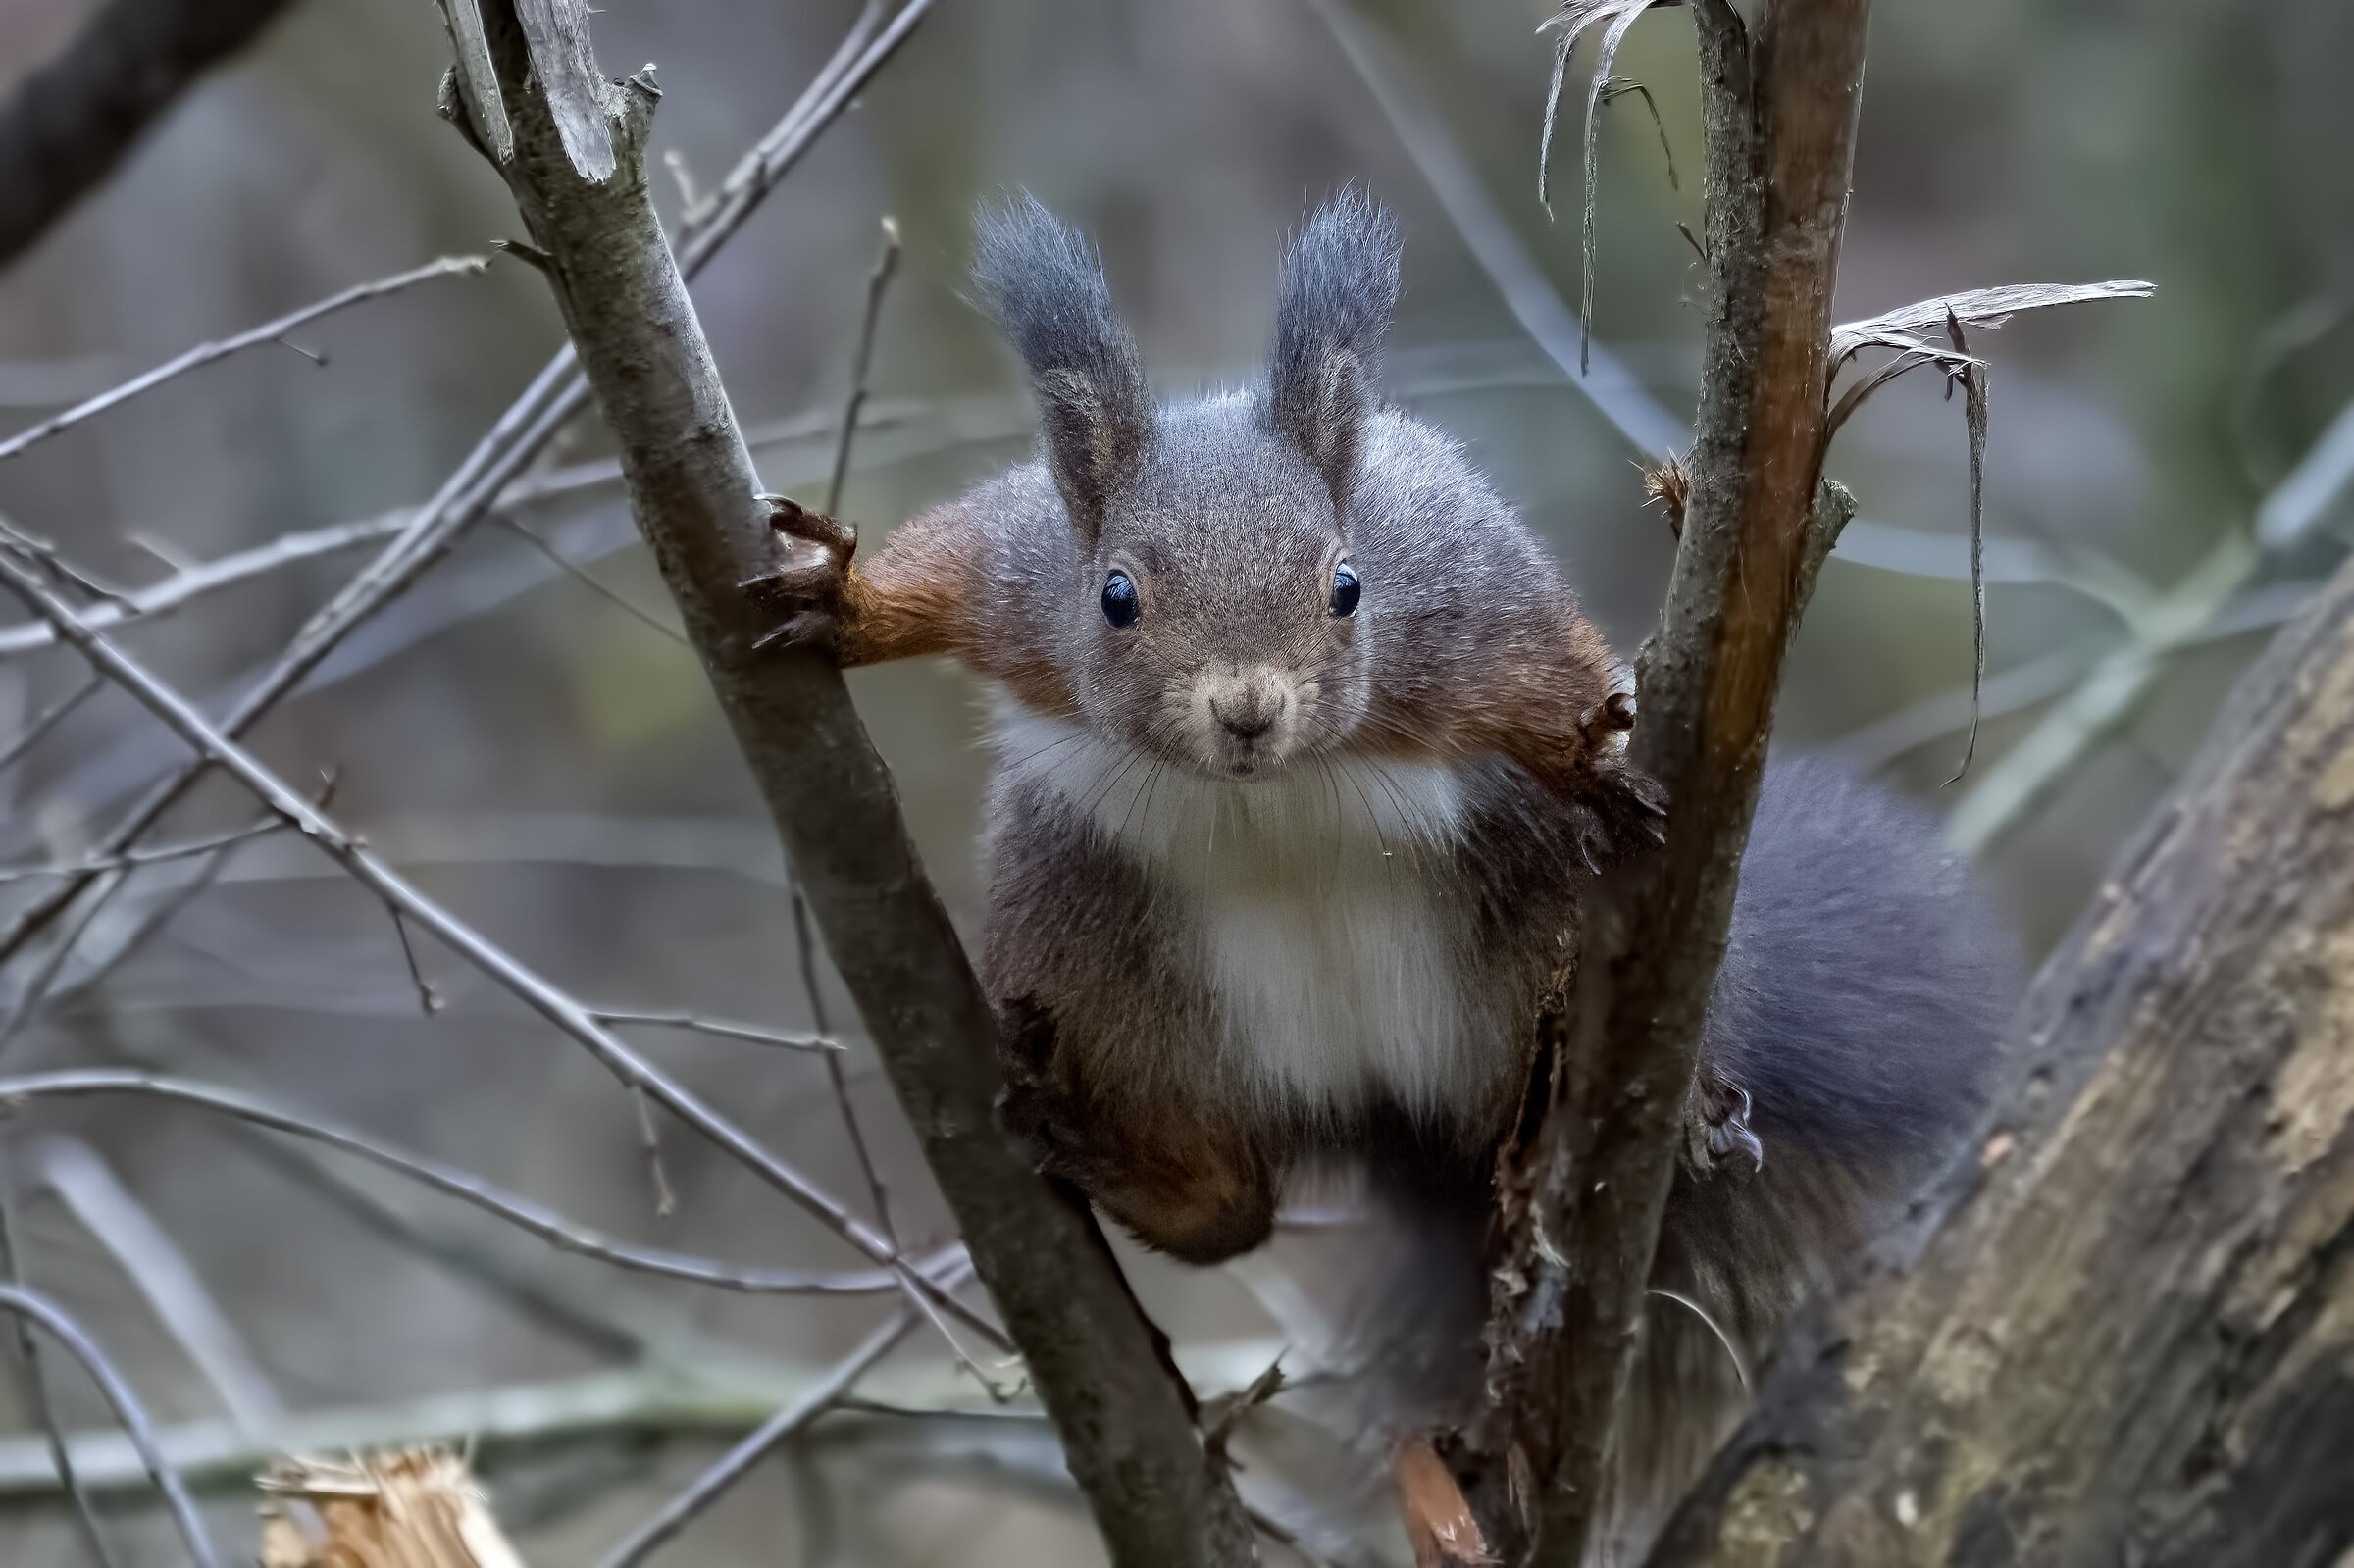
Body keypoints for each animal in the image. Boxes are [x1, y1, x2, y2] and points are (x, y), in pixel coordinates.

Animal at [751, 191, 2017, 1566]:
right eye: (1117, 595)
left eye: (1349, 586)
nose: (1247, 711)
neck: (1275, 784)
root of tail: (1381, 1099)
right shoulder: (1019, 583)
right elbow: (942, 569)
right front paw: (845, 598)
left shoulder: (1465, 623)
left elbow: (1558, 680)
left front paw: (1605, 762)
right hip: (1107, 965)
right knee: (1235, 1206)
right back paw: (1131, 1159)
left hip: (1538, 944)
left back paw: (1677, 1103)